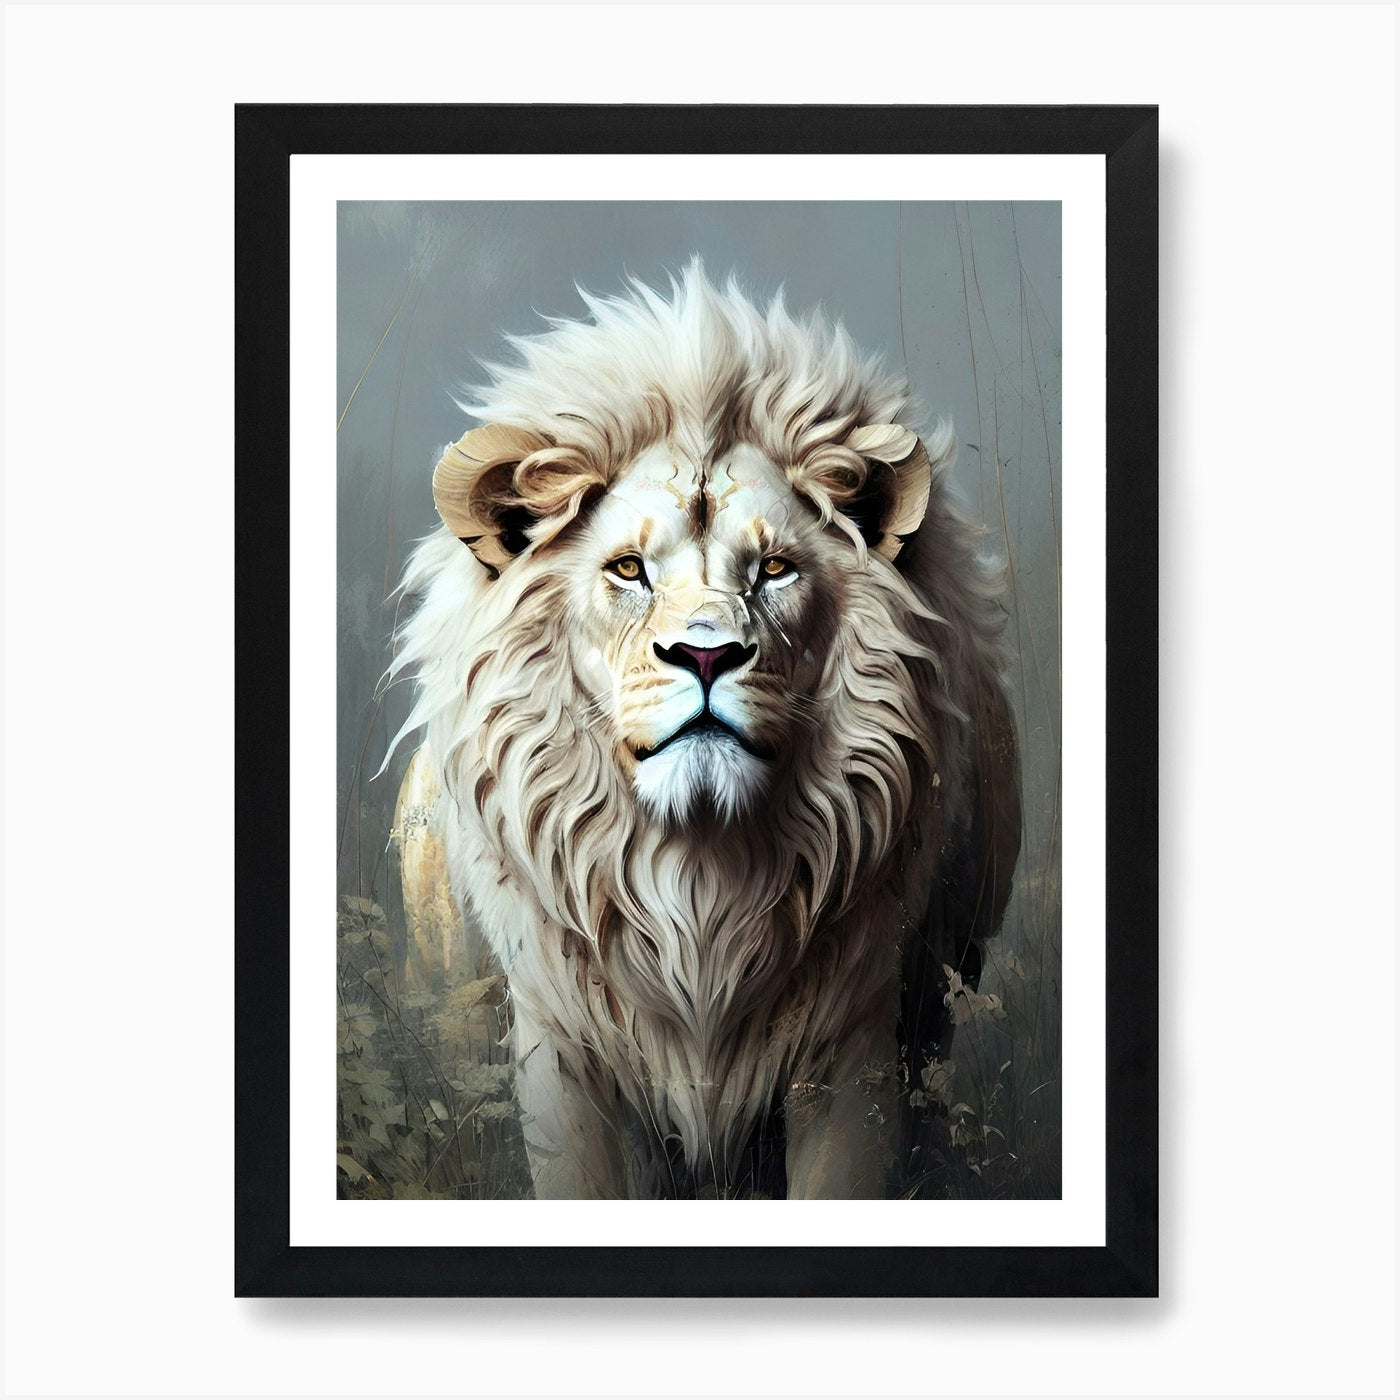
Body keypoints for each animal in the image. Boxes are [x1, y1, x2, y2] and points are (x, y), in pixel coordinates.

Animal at [385, 262, 1020, 1199]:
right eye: (628, 570)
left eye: (774, 569)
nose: (707, 653)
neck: (699, 877)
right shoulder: (556, 1046)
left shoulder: (855, 1045)